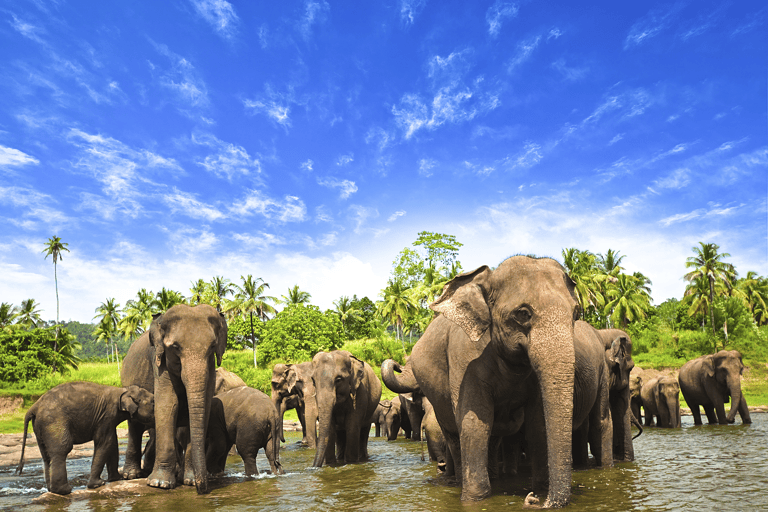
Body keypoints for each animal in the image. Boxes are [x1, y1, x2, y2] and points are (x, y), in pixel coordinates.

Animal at [16, 382, 154, 495]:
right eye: (153, 402)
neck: (123, 390)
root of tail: (34, 407)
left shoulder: (108, 420)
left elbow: (112, 443)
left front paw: (116, 478)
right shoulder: (106, 416)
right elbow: (105, 443)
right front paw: (98, 484)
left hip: (39, 427)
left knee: (46, 455)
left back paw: (51, 490)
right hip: (54, 422)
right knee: (62, 450)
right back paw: (64, 491)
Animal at [120, 304, 227, 494]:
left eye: (212, 346)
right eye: (175, 347)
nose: (202, 490)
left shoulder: (210, 367)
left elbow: (203, 407)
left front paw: (189, 481)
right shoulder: (159, 362)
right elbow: (168, 404)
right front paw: (159, 484)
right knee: (134, 427)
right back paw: (131, 475)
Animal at [383, 256, 580, 507]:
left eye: (576, 313)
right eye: (522, 313)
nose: (534, 500)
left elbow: (538, 423)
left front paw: (541, 488)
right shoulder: (465, 358)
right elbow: (474, 422)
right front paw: (475, 500)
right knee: (454, 435)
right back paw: (458, 481)